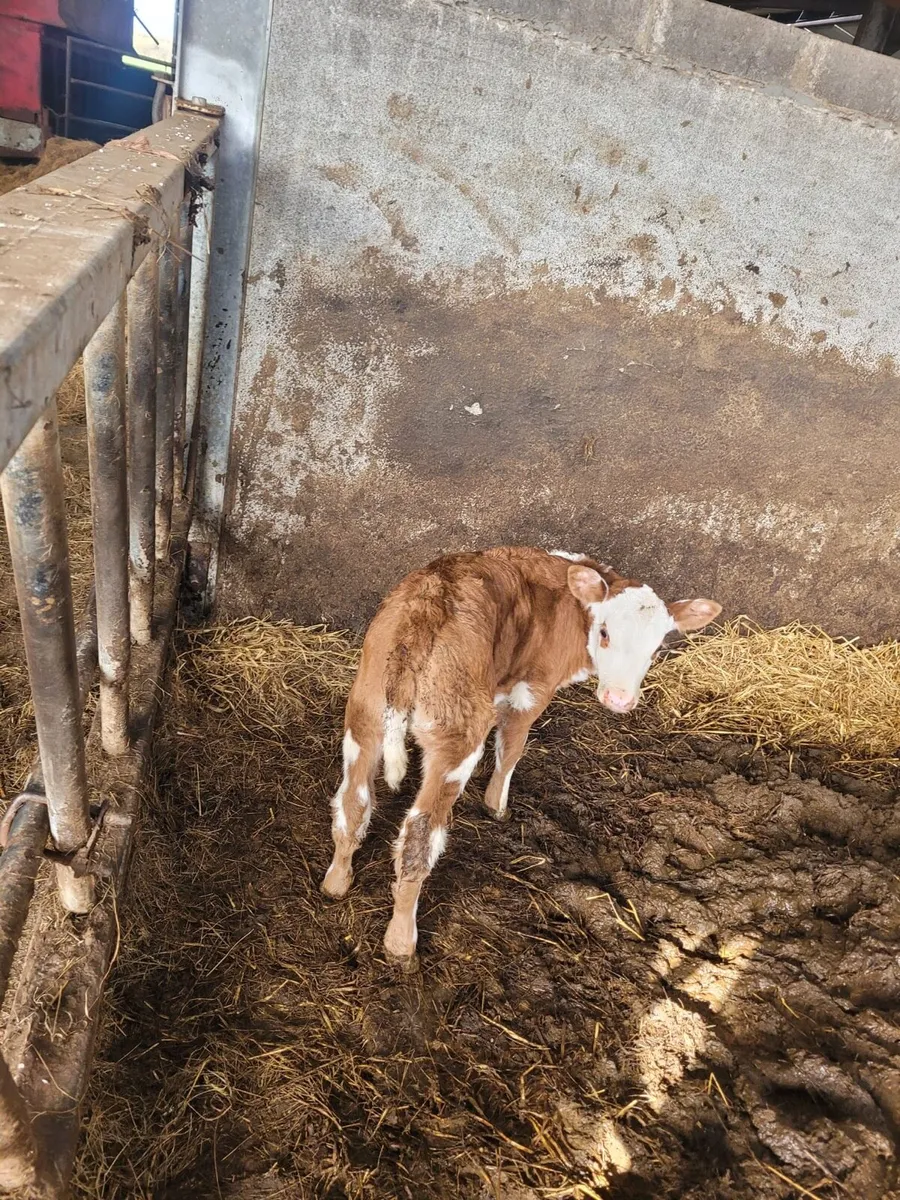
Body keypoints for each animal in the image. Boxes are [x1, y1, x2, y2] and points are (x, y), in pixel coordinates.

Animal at [321, 547, 721, 964]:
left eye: (656, 648)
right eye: (605, 632)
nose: (620, 699)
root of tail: (425, 606)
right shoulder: (532, 691)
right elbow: (511, 749)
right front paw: (497, 806)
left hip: (365, 713)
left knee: (352, 802)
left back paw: (336, 882)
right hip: (457, 739)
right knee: (419, 835)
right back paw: (401, 942)